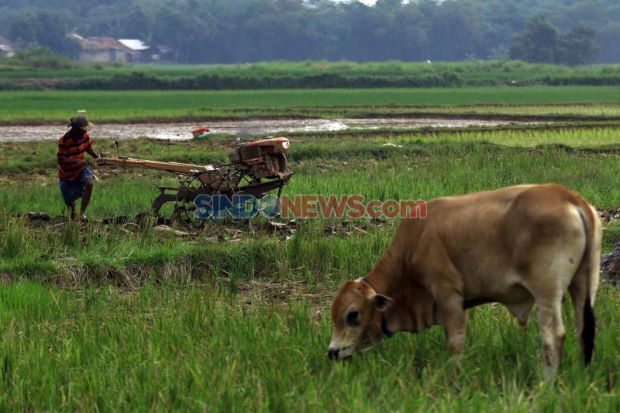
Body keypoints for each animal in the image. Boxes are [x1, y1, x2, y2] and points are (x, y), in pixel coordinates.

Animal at [326, 183, 604, 376]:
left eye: (353, 315)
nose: (332, 352)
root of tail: (570, 197)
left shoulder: (448, 295)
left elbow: (455, 343)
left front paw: (455, 378)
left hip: (547, 292)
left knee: (553, 337)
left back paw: (546, 384)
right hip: (585, 284)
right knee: (584, 329)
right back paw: (583, 374)